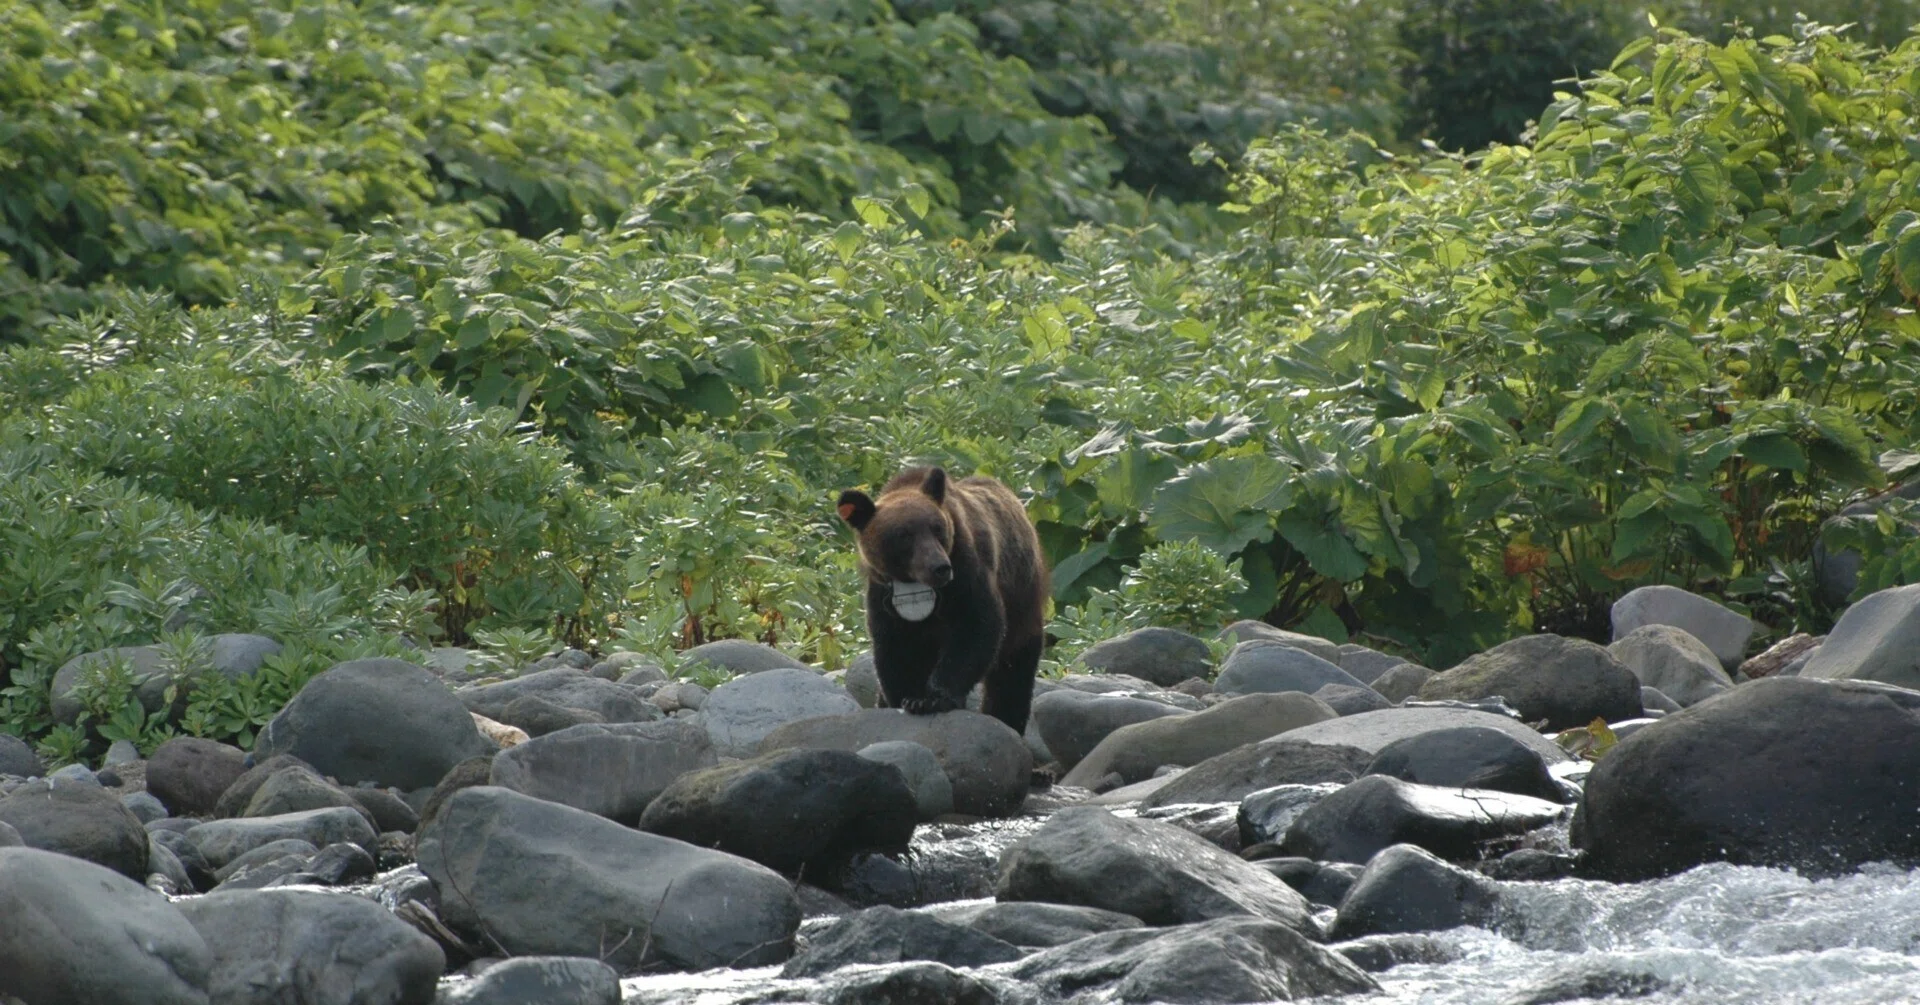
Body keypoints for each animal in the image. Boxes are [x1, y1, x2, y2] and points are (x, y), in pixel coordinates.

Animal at [837, 466, 1048, 737]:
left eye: (937, 527)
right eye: (903, 535)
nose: (939, 568)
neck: (917, 588)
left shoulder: (966, 575)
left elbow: (975, 628)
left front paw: (931, 698)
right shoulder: (884, 594)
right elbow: (894, 647)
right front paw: (905, 696)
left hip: (1022, 602)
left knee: (1012, 674)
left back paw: (1006, 719)